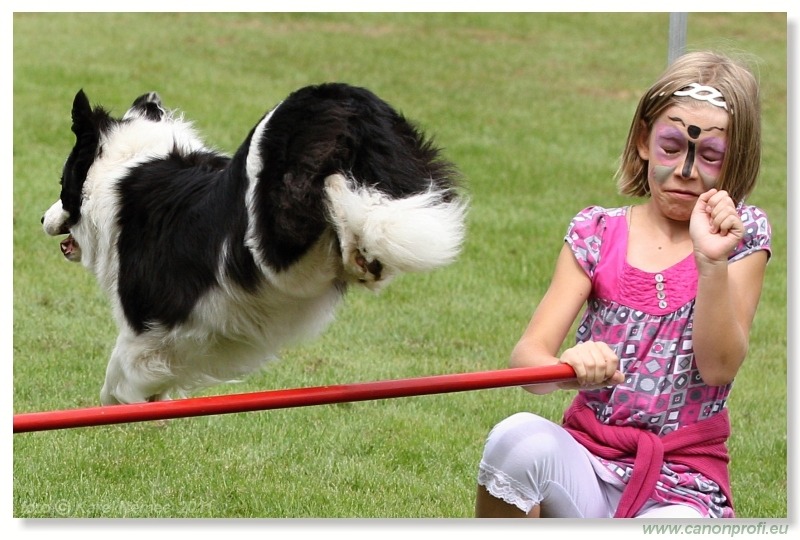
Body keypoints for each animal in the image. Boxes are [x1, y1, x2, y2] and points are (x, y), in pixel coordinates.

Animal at [43, 84, 466, 404]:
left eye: (62, 182)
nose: (41, 219)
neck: (125, 168)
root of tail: (342, 99)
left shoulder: (146, 317)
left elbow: (117, 376)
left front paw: (135, 402)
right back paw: (364, 259)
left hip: (274, 229)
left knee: (332, 198)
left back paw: (354, 247)